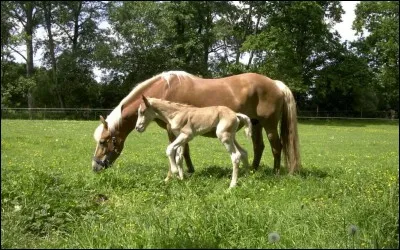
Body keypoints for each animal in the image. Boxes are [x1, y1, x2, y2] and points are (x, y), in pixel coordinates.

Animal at [93, 70, 300, 176]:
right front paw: (189, 170)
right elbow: (184, 151)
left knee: (276, 146)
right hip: (256, 125)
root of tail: (275, 83)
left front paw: (180, 172)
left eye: (103, 142)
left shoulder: (172, 130)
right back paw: (254, 170)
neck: (164, 90)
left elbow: (178, 151)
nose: (95, 167)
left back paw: (275, 172)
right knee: (258, 147)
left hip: (269, 125)